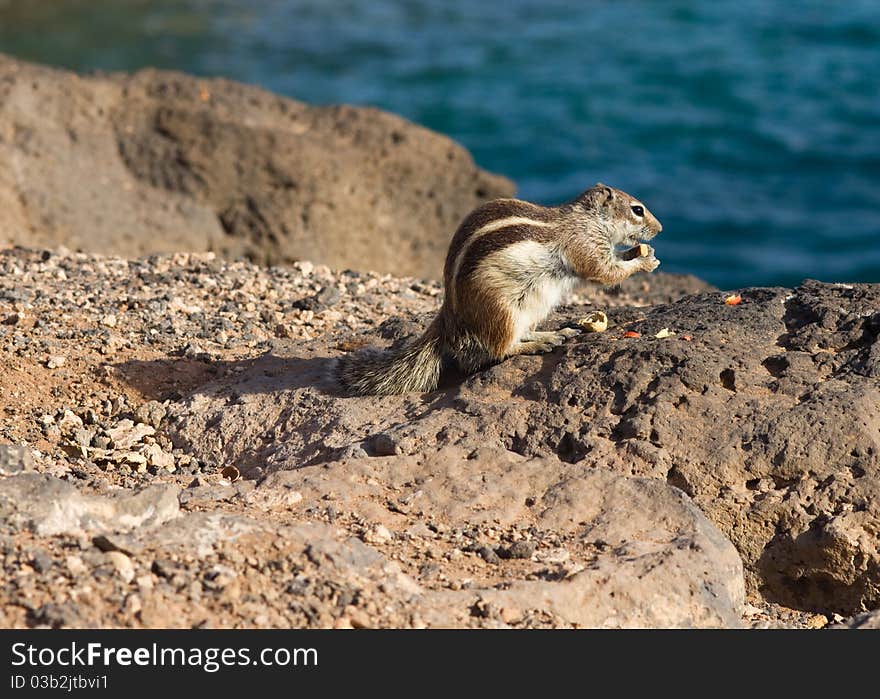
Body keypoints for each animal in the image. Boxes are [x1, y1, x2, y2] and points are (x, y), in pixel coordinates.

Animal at [336, 183, 660, 396]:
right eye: (637, 210)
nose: (660, 230)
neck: (587, 219)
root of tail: (449, 317)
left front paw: (641, 253)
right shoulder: (585, 245)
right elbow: (604, 272)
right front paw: (645, 260)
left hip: (533, 307)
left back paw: (554, 333)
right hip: (501, 311)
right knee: (501, 349)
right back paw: (537, 344)